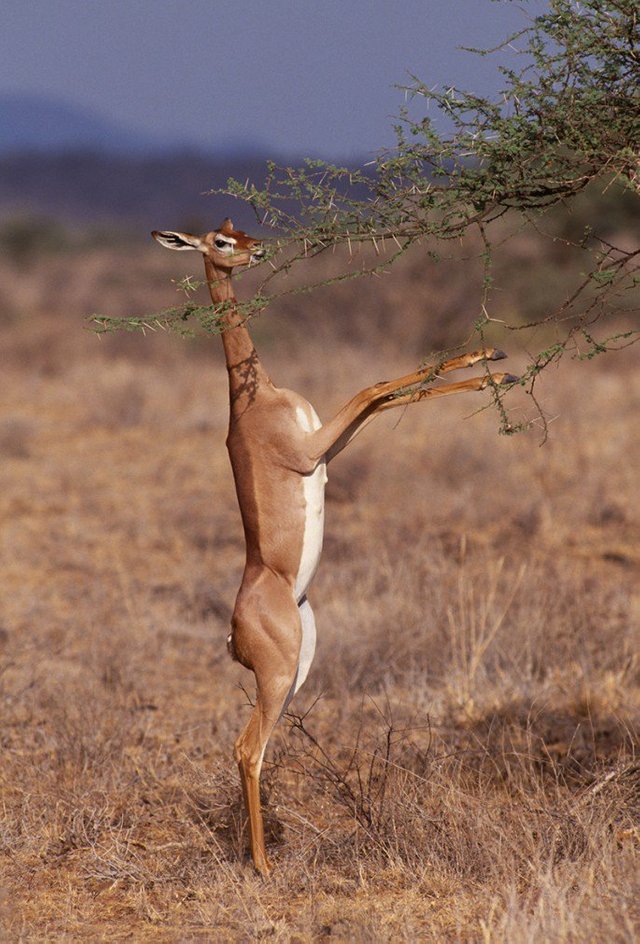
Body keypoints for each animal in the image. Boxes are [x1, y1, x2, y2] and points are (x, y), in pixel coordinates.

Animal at [152, 218, 516, 872]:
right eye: (219, 243)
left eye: (234, 227)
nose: (258, 249)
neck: (254, 397)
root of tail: (233, 632)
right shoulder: (311, 450)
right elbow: (374, 387)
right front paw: (496, 361)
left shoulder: (331, 448)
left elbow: (392, 395)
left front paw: (497, 364)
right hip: (276, 675)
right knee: (245, 748)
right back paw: (263, 865)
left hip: (299, 667)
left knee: (257, 747)